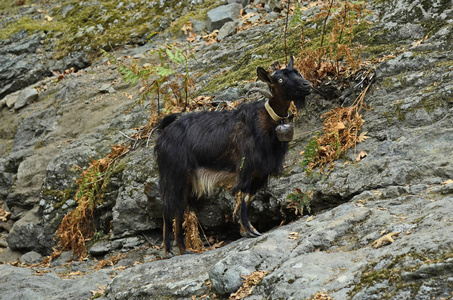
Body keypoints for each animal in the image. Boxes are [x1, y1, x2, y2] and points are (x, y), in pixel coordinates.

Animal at [155, 55, 310, 254]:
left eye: (297, 72)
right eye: (281, 79)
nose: (307, 85)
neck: (267, 120)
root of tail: (163, 132)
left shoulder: (260, 172)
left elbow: (249, 197)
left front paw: (249, 229)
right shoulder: (246, 167)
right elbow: (243, 196)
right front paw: (250, 231)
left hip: (187, 179)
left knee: (179, 208)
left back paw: (183, 249)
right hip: (174, 174)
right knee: (169, 209)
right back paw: (169, 250)